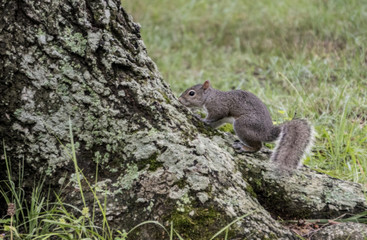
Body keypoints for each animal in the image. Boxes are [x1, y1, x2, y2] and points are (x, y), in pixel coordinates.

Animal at [180, 79, 314, 170]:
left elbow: (213, 116)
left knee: (258, 146)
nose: (180, 99)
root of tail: (267, 132)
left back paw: (244, 147)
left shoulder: (218, 108)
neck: (210, 96)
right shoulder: (221, 119)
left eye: (191, 93)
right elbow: (215, 123)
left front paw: (202, 119)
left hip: (242, 125)